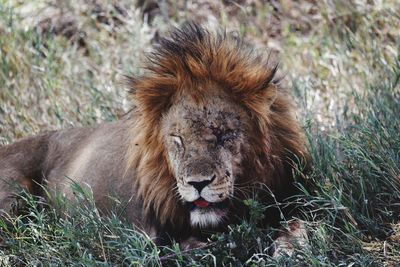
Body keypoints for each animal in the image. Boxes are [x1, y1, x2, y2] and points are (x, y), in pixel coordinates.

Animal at [0, 23, 310, 253]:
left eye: (223, 133)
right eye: (178, 139)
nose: (198, 184)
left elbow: (300, 223)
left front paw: (289, 248)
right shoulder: (143, 235)